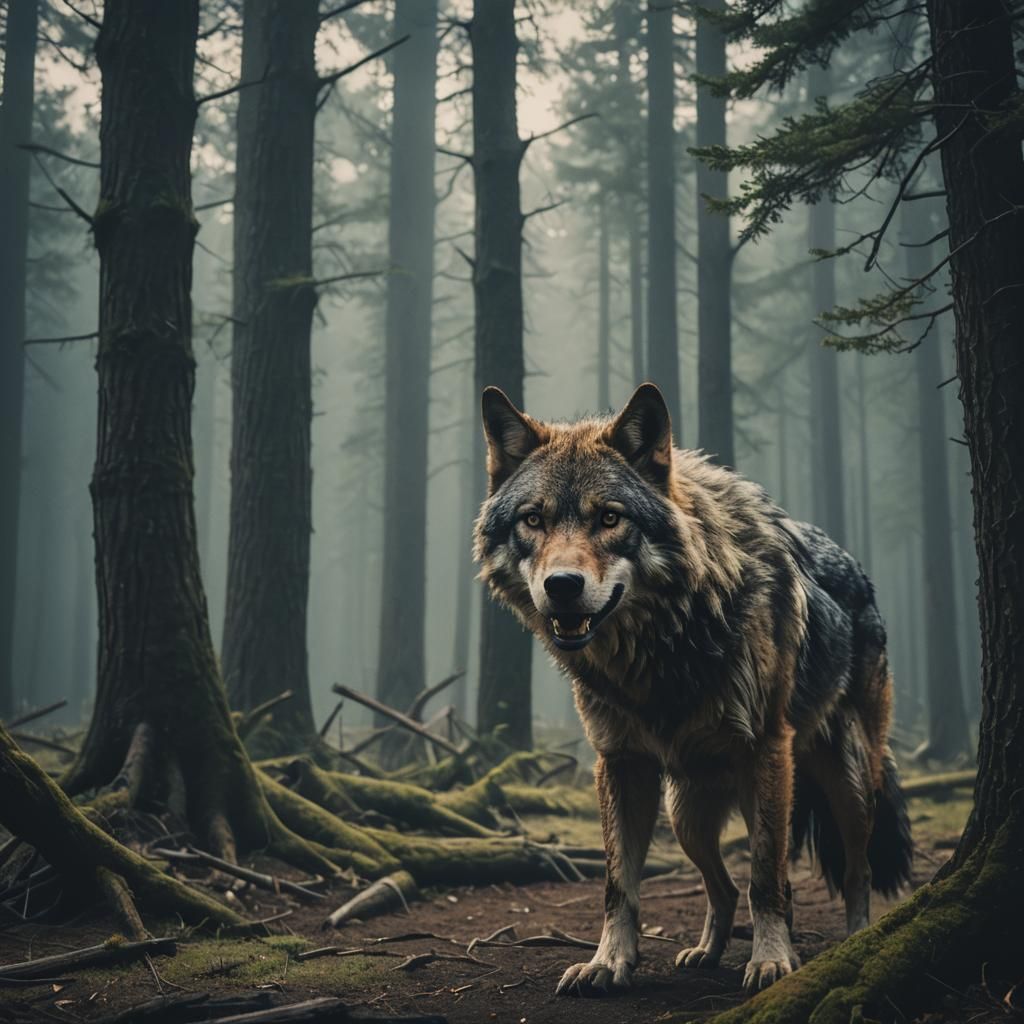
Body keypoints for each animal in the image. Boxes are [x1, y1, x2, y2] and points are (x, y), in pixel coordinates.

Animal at [474, 382, 912, 996]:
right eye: (533, 519)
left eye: (610, 518)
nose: (562, 586)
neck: (662, 648)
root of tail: (861, 575)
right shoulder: (620, 762)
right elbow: (619, 885)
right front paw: (608, 963)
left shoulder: (767, 749)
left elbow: (767, 877)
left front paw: (771, 961)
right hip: (686, 815)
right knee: (723, 886)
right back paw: (706, 951)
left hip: (842, 784)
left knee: (850, 870)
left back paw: (852, 941)